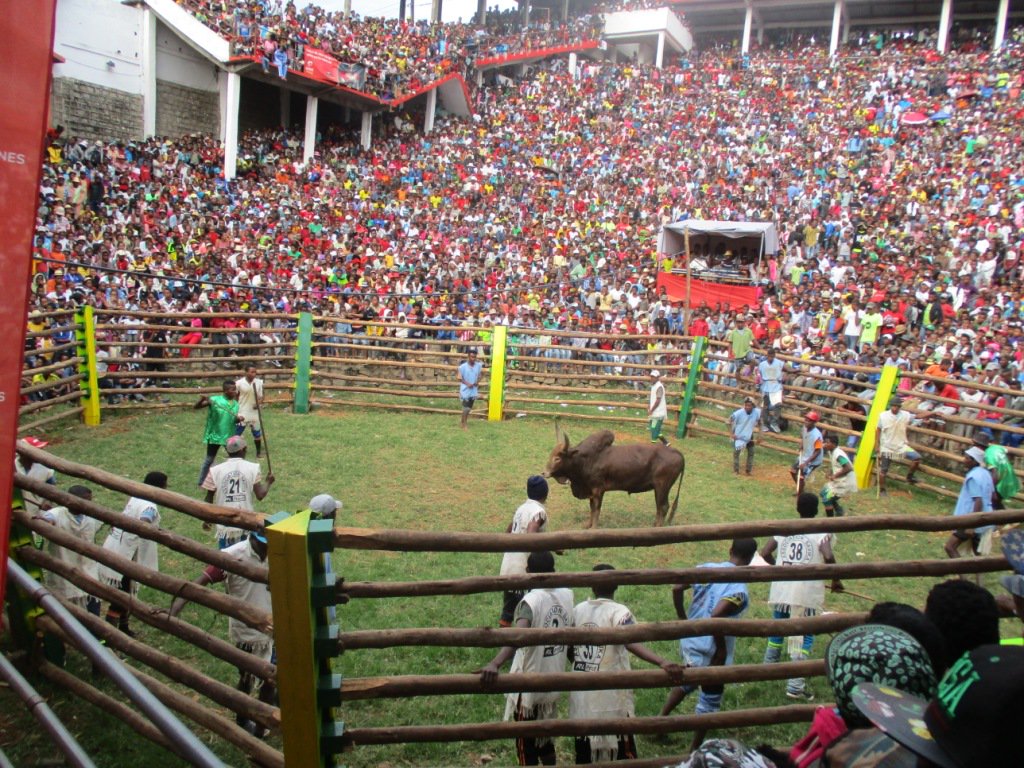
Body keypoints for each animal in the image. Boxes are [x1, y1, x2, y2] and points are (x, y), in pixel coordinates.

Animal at [544, 428, 688, 528]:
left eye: (558, 458)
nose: (544, 473)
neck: (586, 460)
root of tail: (677, 452)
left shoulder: (598, 490)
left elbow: (596, 510)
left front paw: (594, 528)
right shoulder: (591, 491)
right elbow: (592, 509)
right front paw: (587, 525)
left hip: (662, 487)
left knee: (663, 506)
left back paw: (657, 527)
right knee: (660, 507)